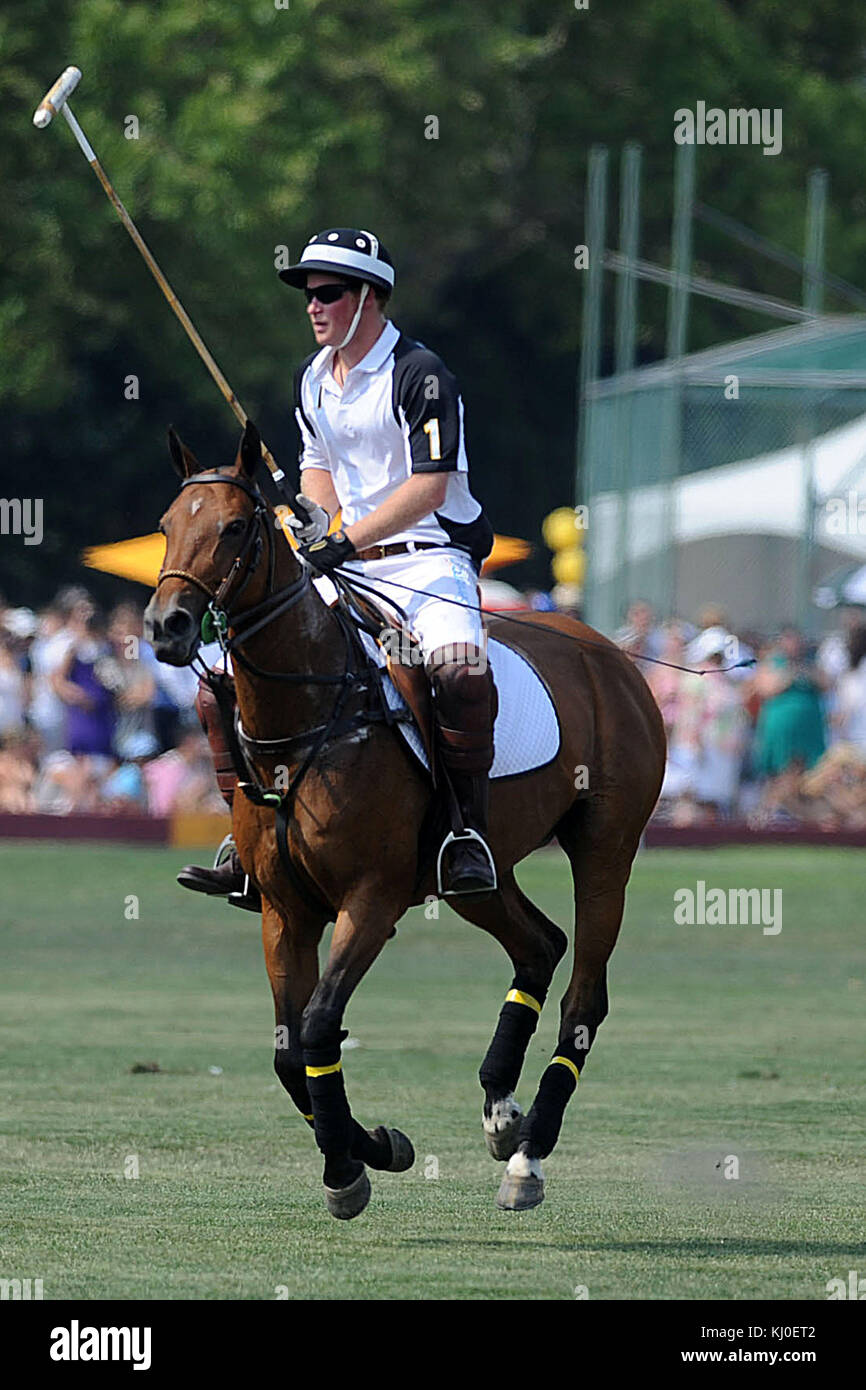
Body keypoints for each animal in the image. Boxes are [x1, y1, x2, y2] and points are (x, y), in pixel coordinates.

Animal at [145, 419, 667, 1217]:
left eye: (235, 527)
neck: (311, 715)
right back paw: (500, 1111)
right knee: (539, 943)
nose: (167, 627)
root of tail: (612, 654)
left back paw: (529, 1158)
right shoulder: (286, 909)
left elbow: (319, 1025)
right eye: (168, 523)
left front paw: (348, 1168)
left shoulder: (373, 897)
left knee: (584, 996)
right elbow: (288, 1049)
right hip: (473, 874)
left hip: (606, 847)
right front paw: (374, 1147)